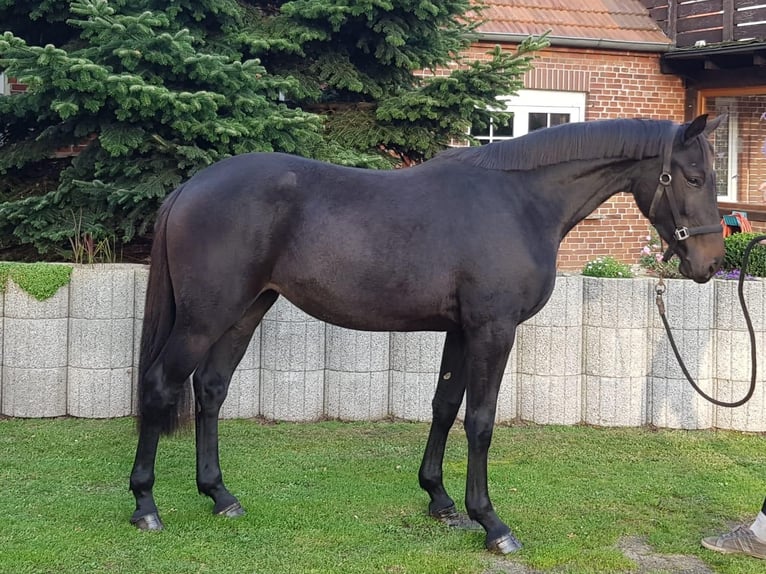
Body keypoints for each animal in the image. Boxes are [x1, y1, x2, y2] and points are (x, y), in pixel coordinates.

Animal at [130, 116, 728, 552]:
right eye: (694, 178)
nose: (710, 263)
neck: (519, 201)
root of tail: (191, 186)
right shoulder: (493, 329)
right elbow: (480, 421)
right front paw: (492, 523)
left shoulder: (461, 331)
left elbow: (444, 405)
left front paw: (440, 500)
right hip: (206, 316)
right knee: (160, 385)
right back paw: (145, 506)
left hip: (246, 309)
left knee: (210, 388)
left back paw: (220, 495)